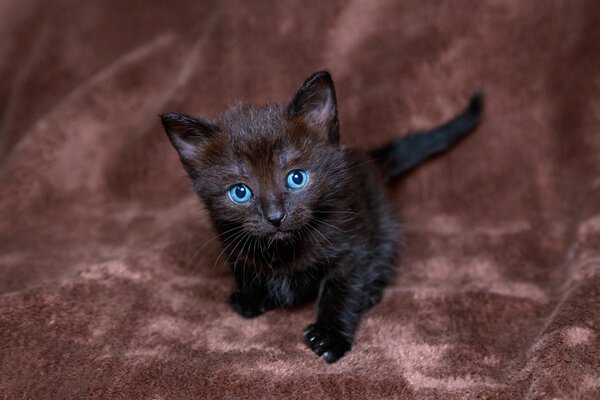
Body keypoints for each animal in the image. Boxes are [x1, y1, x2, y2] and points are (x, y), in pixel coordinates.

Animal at [161, 72, 482, 362]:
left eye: (297, 178)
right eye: (240, 192)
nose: (275, 216)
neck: (284, 251)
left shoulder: (352, 245)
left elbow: (340, 290)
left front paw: (331, 335)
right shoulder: (230, 240)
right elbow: (244, 265)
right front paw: (251, 296)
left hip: (382, 217)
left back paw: (371, 292)